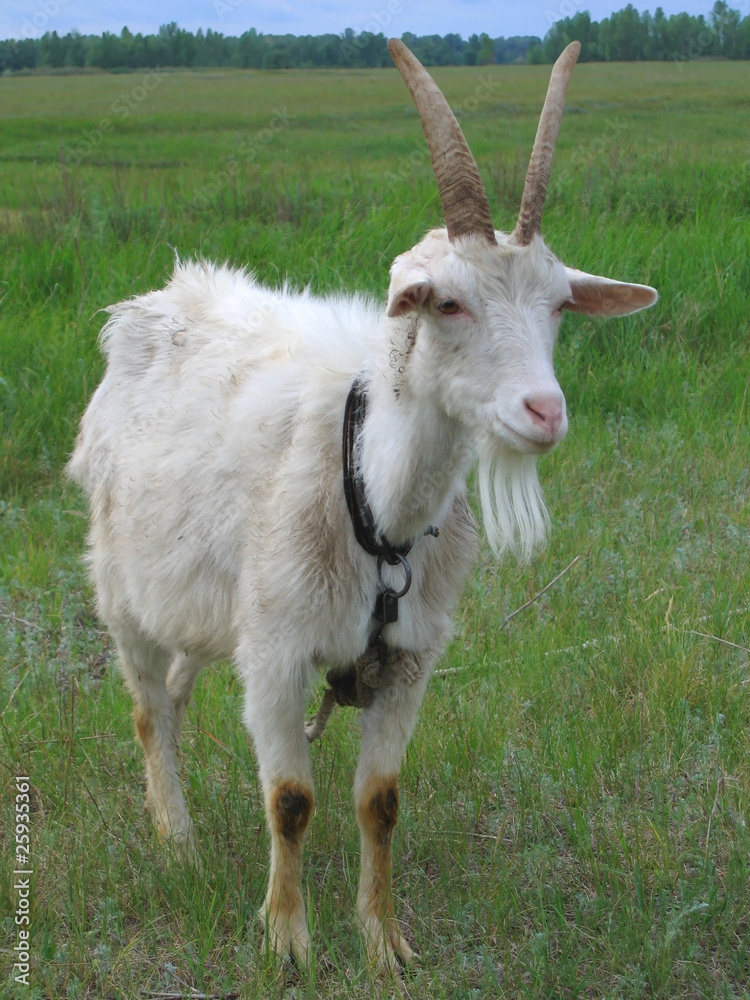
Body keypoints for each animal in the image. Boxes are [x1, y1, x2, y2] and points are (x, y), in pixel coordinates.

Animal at [68, 39, 657, 972]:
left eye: (560, 303)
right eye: (448, 300)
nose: (543, 412)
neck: (373, 503)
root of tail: (154, 302)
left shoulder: (408, 659)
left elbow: (380, 801)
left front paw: (385, 943)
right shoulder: (276, 652)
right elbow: (290, 800)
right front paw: (287, 940)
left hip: (207, 607)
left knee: (178, 687)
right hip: (123, 590)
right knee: (147, 707)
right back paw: (179, 840)